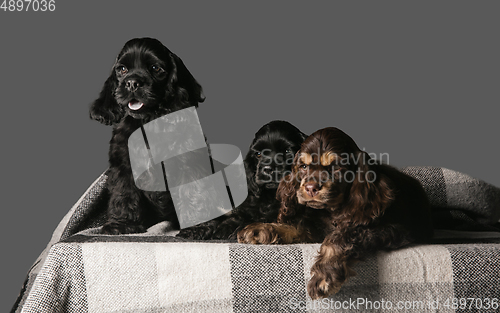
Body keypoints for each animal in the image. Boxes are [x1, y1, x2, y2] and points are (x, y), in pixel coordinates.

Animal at [91, 37, 204, 234]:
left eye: (155, 68)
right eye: (122, 69)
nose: (132, 83)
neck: (148, 120)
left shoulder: (188, 162)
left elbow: (193, 191)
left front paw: (196, 227)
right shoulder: (123, 164)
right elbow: (123, 193)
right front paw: (122, 224)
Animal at [178, 119, 306, 239]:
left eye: (287, 151)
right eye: (258, 154)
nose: (267, 169)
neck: (270, 195)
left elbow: (264, 219)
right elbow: (238, 216)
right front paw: (223, 228)